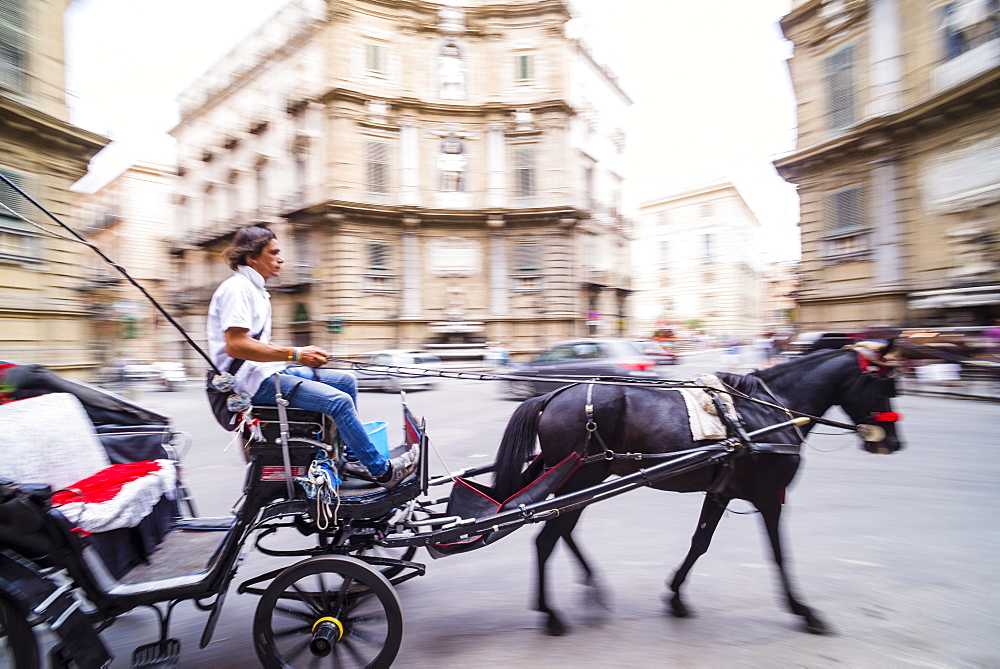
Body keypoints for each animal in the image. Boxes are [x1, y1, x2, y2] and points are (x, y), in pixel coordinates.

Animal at [492, 342, 908, 636]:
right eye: (885, 384)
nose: (893, 443)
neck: (771, 412)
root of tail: (550, 396)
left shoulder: (721, 492)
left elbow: (700, 543)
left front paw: (675, 595)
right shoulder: (769, 496)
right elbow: (779, 555)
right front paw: (803, 611)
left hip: (581, 482)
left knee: (563, 531)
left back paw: (591, 588)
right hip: (582, 479)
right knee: (547, 540)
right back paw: (551, 613)